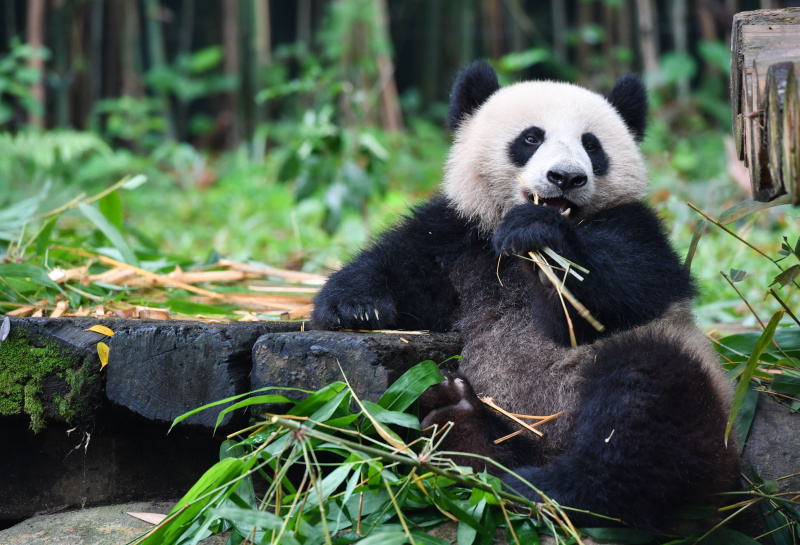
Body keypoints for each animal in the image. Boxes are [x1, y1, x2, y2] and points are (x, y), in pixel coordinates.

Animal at [312, 61, 739, 531]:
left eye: (592, 145)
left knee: (644, 410)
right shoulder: (457, 235)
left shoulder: (636, 227)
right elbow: (399, 267)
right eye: (531, 138)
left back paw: (548, 488)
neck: (508, 251)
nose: (566, 177)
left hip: (685, 384)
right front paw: (356, 308)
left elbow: (621, 289)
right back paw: (461, 423)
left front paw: (541, 236)